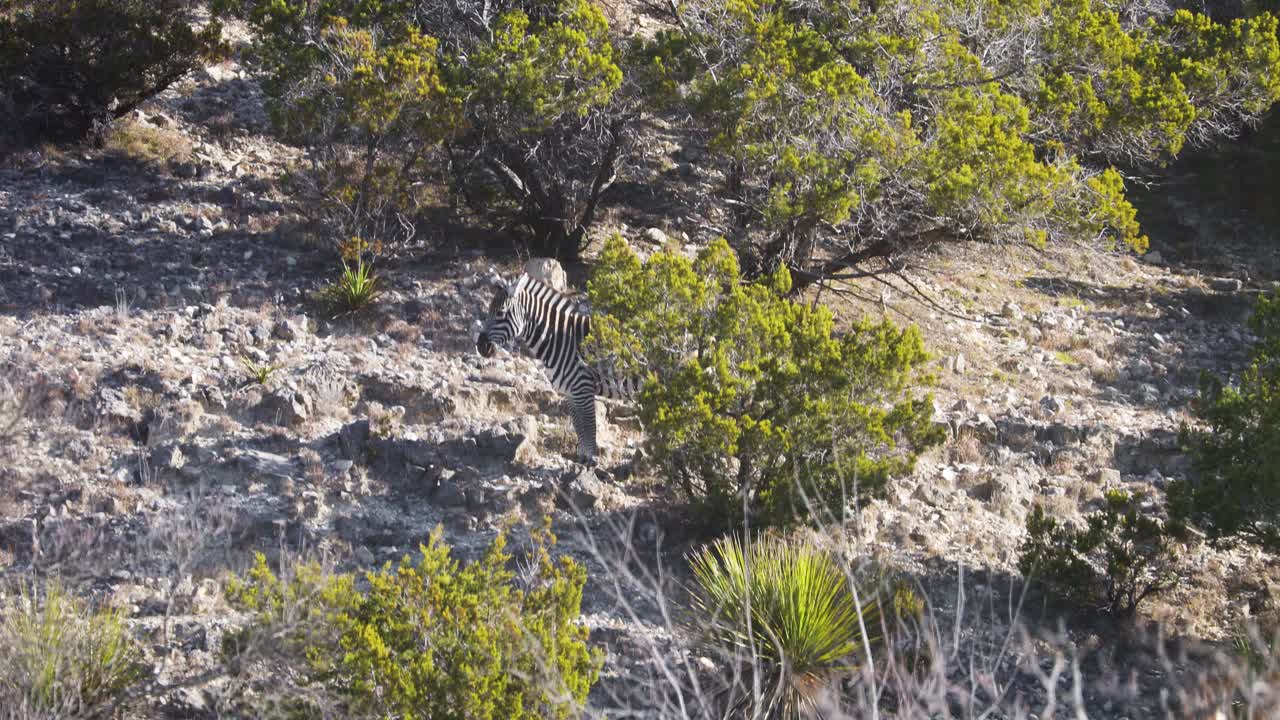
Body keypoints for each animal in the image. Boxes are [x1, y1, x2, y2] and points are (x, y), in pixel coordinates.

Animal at [476, 272, 636, 463]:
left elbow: (589, 426)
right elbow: (579, 426)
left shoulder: (583, 388)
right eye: (488, 311)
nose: (480, 346)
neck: (562, 340)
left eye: (500, 313)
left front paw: (589, 460)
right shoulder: (570, 393)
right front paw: (581, 456)